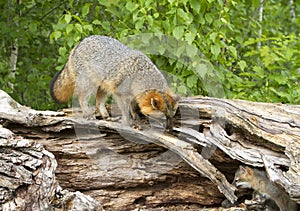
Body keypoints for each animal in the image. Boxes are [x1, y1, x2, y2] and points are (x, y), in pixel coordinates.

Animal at [50, 35, 179, 129]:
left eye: (171, 117)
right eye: (163, 118)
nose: (170, 129)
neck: (139, 74)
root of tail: (79, 43)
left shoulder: (132, 95)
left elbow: (133, 107)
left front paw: (136, 117)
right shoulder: (119, 93)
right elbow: (125, 110)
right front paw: (130, 122)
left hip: (104, 87)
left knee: (98, 103)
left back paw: (106, 117)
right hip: (90, 85)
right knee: (81, 98)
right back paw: (88, 113)